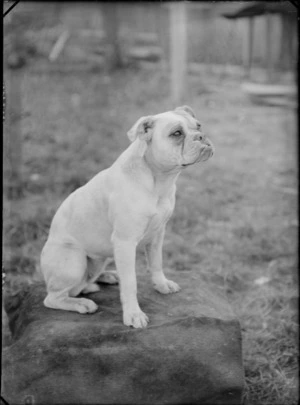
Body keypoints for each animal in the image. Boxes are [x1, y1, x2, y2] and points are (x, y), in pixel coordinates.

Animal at [41, 105, 214, 328]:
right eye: (176, 133)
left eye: (198, 126)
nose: (201, 136)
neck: (159, 180)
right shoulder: (125, 242)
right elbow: (131, 282)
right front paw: (133, 314)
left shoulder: (158, 234)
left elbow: (156, 263)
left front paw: (162, 285)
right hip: (73, 261)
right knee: (54, 297)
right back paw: (81, 303)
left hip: (100, 259)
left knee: (85, 282)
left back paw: (107, 277)